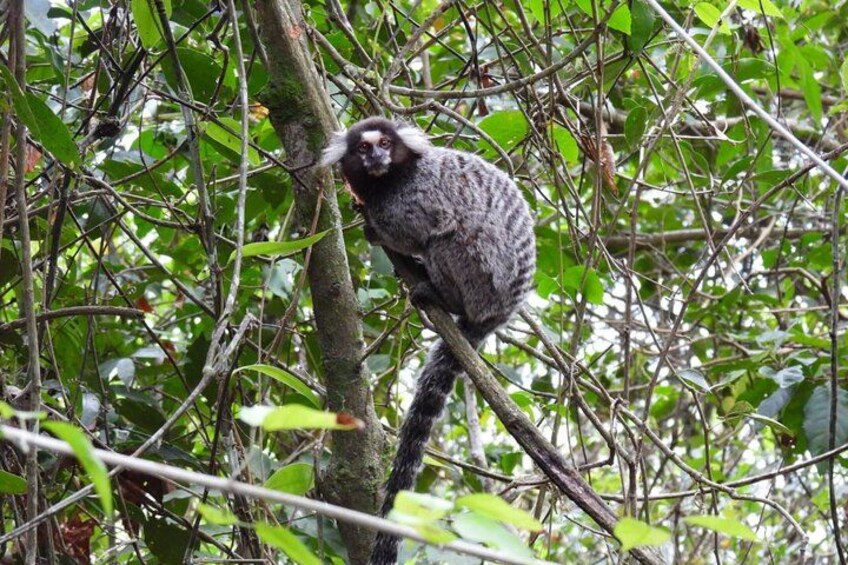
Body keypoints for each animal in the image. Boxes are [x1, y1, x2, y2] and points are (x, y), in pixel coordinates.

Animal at [320, 117, 536, 565]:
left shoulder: (418, 196)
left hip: (480, 276)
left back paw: (435, 291)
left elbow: (424, 226)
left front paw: (373, 227)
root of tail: (500, 311)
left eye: (385, 144)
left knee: (449, 237)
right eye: (363, 149)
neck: (389, 181)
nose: (377, 157)